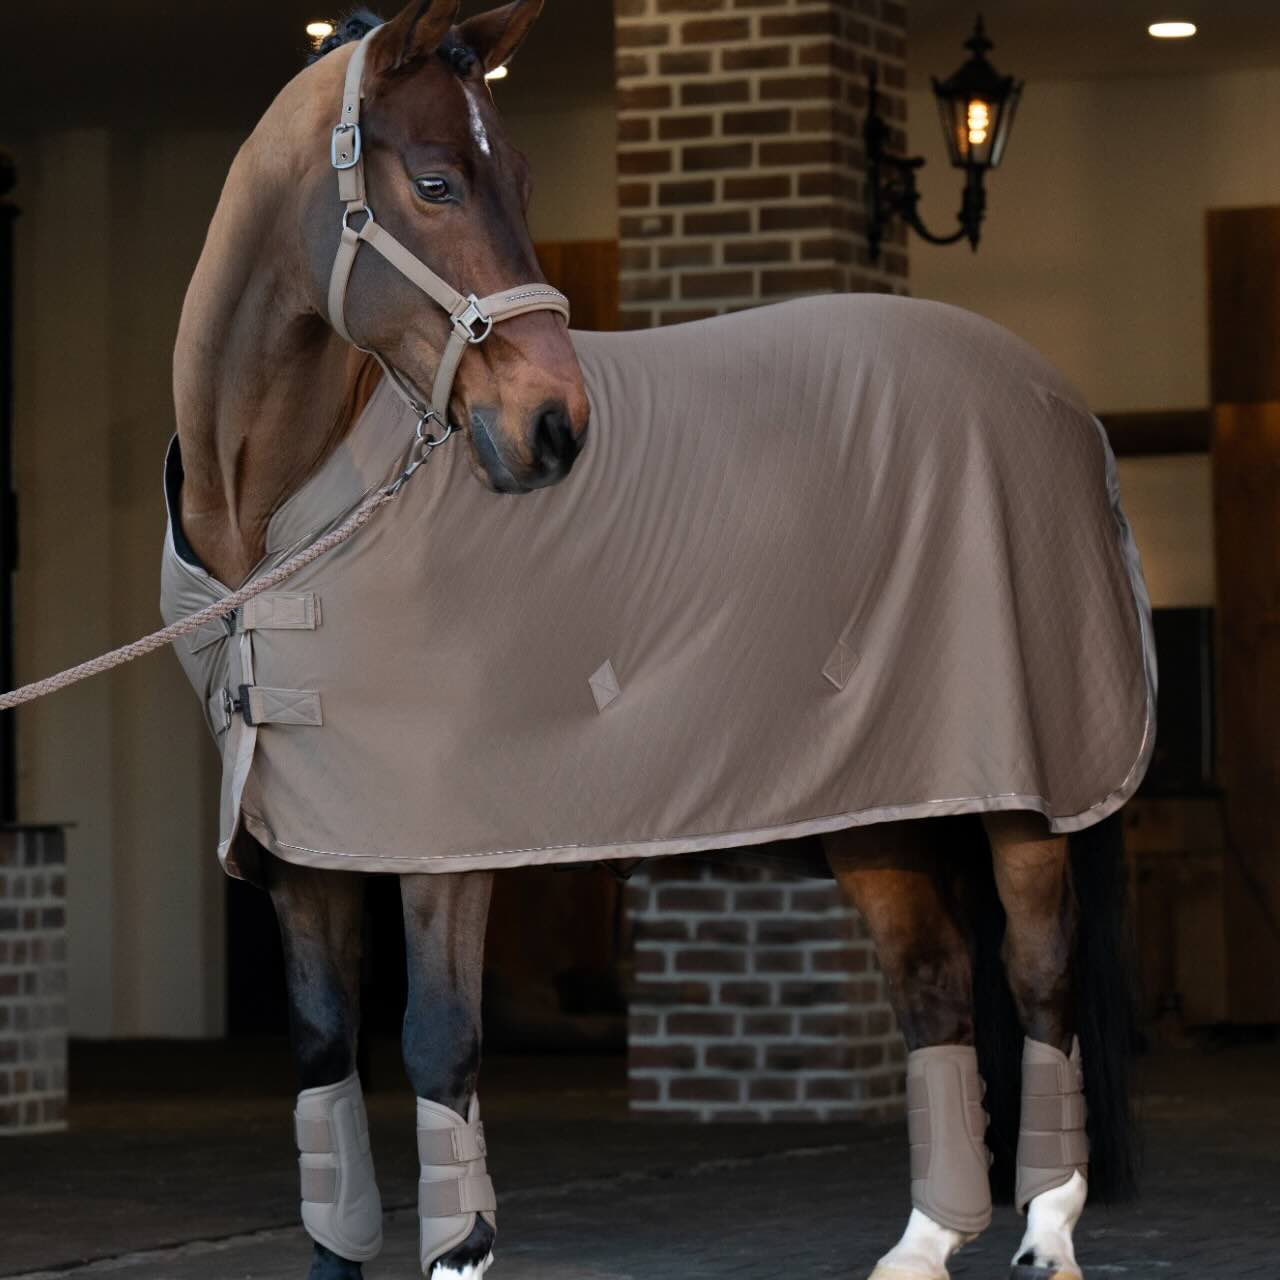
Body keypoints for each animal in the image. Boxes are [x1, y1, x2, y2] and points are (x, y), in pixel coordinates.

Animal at [167, 4, 1143, 1279]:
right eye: (433, 180)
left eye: (523, 177)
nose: (554, 427)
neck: (279, 528)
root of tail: (1061, 403)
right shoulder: (303, 848)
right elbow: (327, 1062)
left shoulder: (446, 840)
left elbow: (437, 1046)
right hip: (879, 795)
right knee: (932, 981)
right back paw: (923, 1242)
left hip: (1025, 791)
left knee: (1037, 981)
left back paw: (1046, 1231)